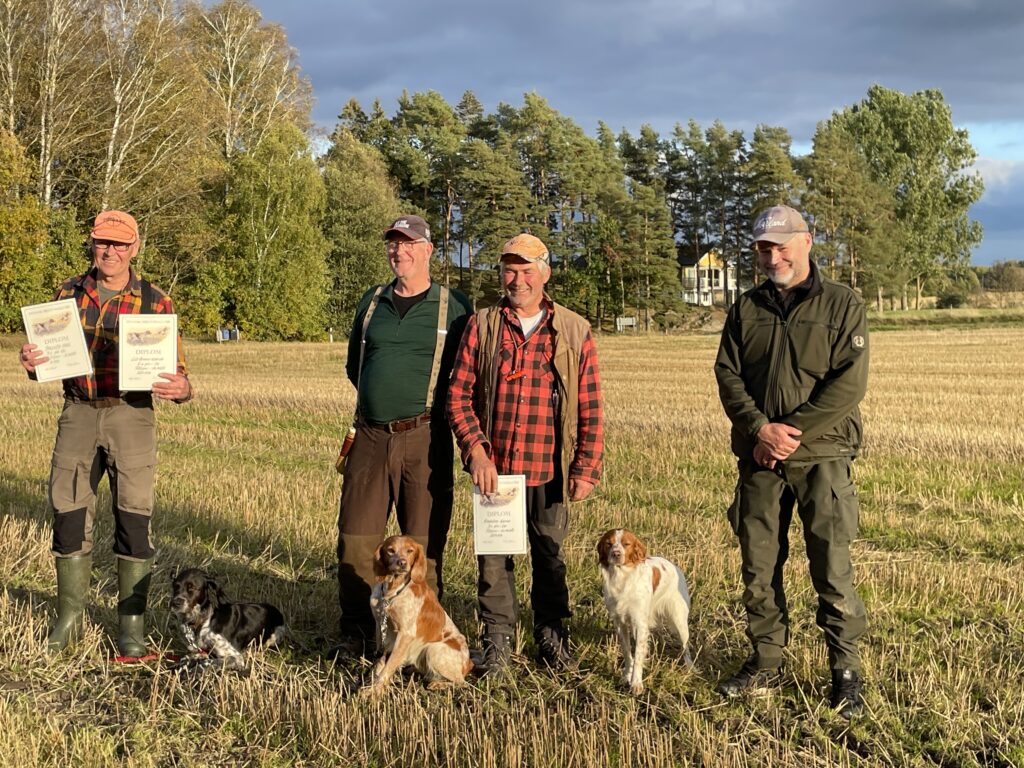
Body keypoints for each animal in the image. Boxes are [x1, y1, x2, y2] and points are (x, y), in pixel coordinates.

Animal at [362, 536, 473, 696]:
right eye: (390, 550)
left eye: (410, 550)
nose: (402, 563)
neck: (391, 594)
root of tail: (469, 663)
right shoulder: (380, 625)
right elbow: (381, 662)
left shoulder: (405, 634)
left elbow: (388, 666)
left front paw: (374, 691)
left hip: (433, 650)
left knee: (462, 683)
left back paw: (437, 684)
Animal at [598, 528, 692, 696]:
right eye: (608, 543)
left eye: (626, 544)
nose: (616, 554)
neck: (622, 578)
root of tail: (676, 567)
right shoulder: (620, 623)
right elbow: (628, 653)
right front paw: (625, 677)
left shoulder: (640, 623)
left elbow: (638, 656)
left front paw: (636, 684)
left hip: (679, 620)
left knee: (685, 646)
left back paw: (689, 667)